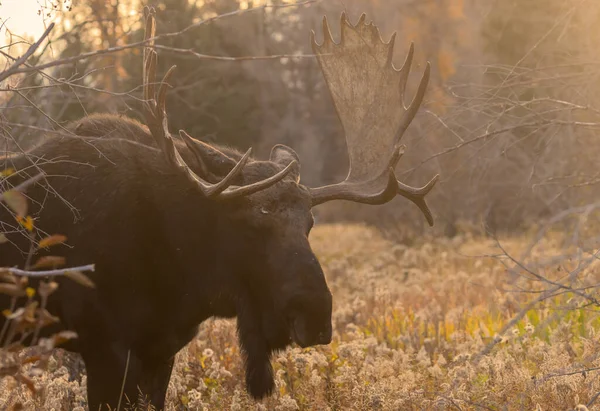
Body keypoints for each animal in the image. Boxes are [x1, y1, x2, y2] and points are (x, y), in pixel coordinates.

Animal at [1, 8, 440, 410]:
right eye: (254, 220)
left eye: (310, 223)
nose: (315, 314)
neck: (185, 275)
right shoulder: (104, 346)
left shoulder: (159, 350)